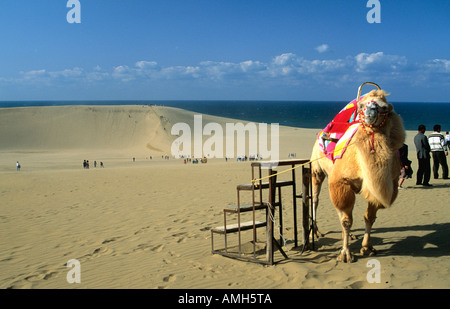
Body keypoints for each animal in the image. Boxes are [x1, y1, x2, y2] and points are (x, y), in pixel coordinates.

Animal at [312, 83, 406, 262]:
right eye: (362, 105)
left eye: (384, 107)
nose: (370, 111)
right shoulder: (341, 181)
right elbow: (347, 221)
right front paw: (345, 254)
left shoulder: (378, 187)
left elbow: (369, 217)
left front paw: (367, 247)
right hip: (317, 168)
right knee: (316, 199)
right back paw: (316, 231)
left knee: (339, 211)